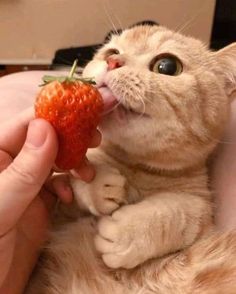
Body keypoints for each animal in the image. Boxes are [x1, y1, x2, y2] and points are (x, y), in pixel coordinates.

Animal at [26, 24, 236, 294]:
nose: (113, 62)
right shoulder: (57, 206)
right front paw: (98, 183)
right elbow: (77, 166)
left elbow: (181, 211)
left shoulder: (203, 215)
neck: (136, 168)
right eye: (112, 52)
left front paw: (126, 233)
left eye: (167, 66)